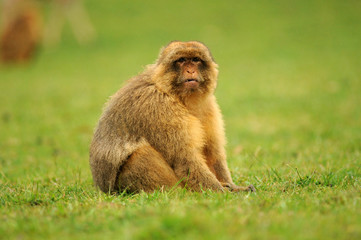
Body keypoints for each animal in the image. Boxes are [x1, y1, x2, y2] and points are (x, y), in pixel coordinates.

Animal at [89, 39, 255, 193]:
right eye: (181, 60)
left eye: (196, 60)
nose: (190, 71)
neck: (177, 96)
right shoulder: (160, 108)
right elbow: (185, 160)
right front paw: (223, 192)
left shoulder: (209, 106)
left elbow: (212, 152)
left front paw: (233, 187)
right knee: (140, 154)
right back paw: (182, 192)